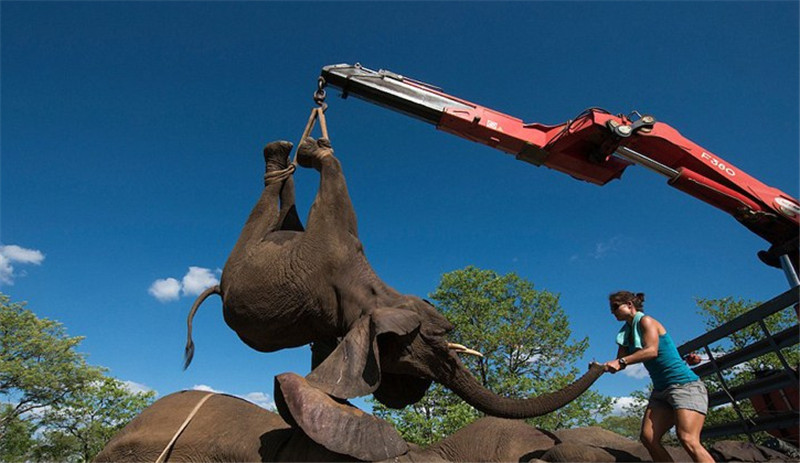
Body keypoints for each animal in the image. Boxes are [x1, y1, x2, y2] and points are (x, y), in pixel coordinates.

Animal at [183, 138, 600, 460]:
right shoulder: (336, 241)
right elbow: (336, 189)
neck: (372, 294)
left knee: (285, 210)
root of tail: (219, 286)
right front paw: (315, 151)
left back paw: (282, 158)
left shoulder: (333, 327)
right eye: (432, 339)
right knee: (271, 204)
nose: (599, 362)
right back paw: (280, 154)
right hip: (241, 255)